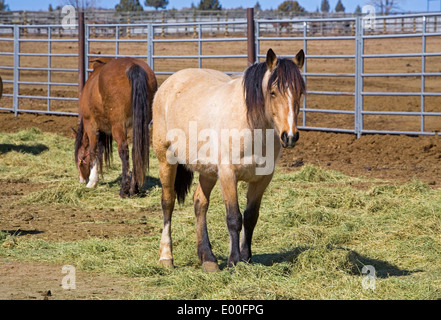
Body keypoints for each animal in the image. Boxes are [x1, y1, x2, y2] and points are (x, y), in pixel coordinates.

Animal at [75, 57, 157, 198]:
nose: (81, 179)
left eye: (80, 160)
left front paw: (92, 182)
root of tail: (133, 66)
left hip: (118, 126)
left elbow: (93, 150)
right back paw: (133, 189)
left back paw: (124, 189)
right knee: (135, 151)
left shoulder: (90, 124)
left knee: (124, 150)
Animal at [151, 48, 302, 272]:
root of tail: (169, 83)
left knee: (200, 203)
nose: (290, 136)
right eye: (273, 92)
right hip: (166, 159)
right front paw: (234, 261)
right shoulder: (228, 174)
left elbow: (250, 217)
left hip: (207, 170)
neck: (251, 126)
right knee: (167, 202)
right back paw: (166, 257)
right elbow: (234, 218)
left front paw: (246, 258)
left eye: (300, 92)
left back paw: (207, 258)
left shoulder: (262, 179)